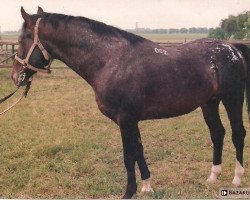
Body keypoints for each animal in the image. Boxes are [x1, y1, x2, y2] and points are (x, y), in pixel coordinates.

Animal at [11, 7, 248, 198]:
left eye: (24, 38)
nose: (15, 77)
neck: (110, 60)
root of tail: (233, 49)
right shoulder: (132, 120)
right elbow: (138, 151)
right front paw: (147, 187)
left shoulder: (125, 119)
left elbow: (128, 156)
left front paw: (129, 192)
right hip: (210, 103)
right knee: (217, 133)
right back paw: (213, 176)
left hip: (232, 99)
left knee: (238, 133)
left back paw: (236, 178)